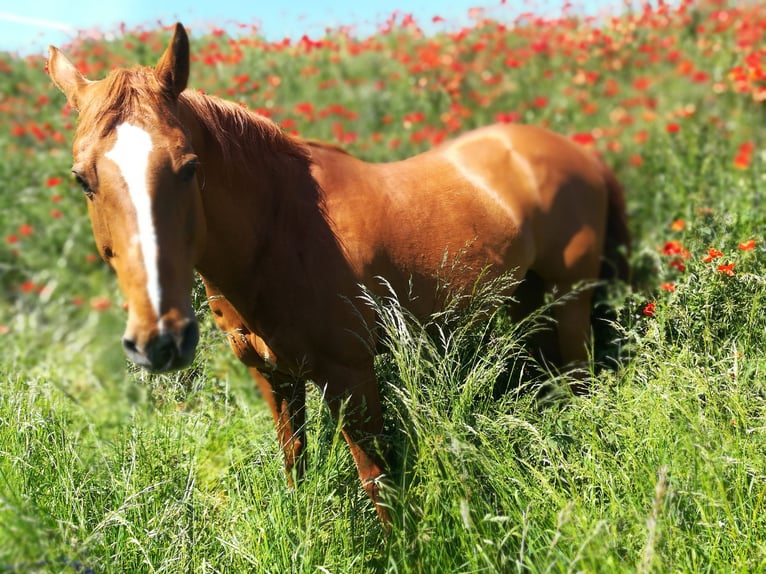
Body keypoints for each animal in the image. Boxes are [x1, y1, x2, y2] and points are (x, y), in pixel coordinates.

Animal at [49, 22, 632, 528]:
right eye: (82, 179)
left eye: (189, 167)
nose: (161, 341)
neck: (284, 230)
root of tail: (576, 152)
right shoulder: (274, 378)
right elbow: (296, 467)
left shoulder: (350, 375)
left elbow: (378, 485)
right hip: (523, 301)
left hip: (570, 302)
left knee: (578, 379)